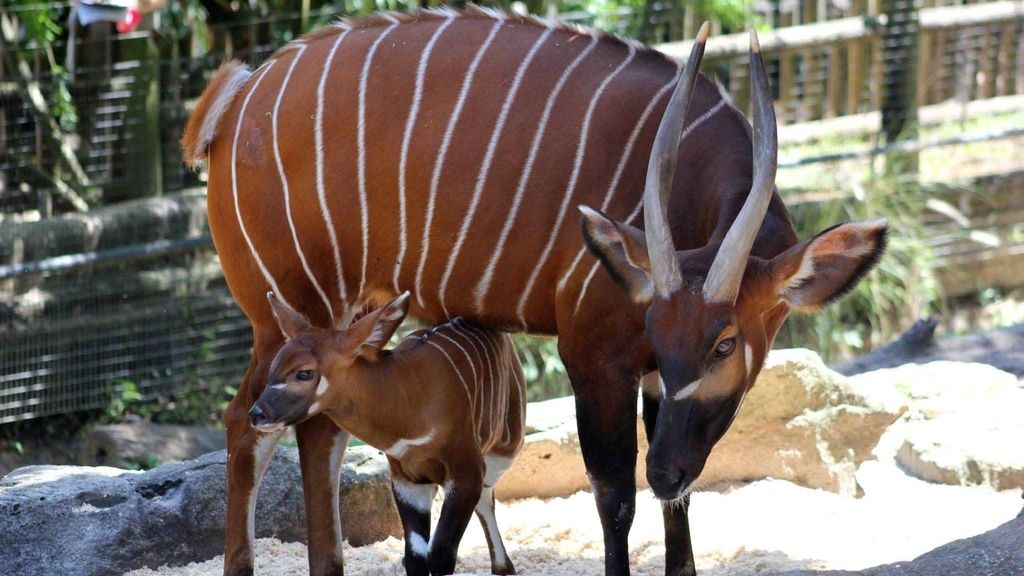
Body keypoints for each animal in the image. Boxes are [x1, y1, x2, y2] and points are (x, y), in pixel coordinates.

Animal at [249, 291, 525, 576]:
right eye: (273, 368)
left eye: (304, 373)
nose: (257, 414)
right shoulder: (406, 479)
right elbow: (416, 556)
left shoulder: (465, 472)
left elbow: (441, 554)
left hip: (503, 450)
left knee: (486, 498)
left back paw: (503, 567)